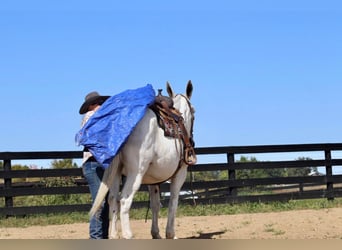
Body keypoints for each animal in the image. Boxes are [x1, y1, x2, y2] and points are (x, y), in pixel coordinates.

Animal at [89, 81, 195, 239]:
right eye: (194, 112)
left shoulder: (153, 181)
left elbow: (155, 205)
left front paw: (156, 233)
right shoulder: (180, 174)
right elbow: (173, 202)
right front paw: (170, 234)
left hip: (116, 173)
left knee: (113, 199)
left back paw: (114, 235)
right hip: (135, 173)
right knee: (125, 200)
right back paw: (128, 235)